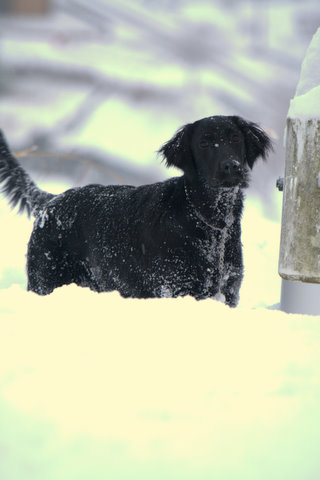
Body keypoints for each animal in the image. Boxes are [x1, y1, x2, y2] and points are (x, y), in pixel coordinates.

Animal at [0, 114, 272, 306]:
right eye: (204, 142)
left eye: (235, 138)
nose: (231, 166)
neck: (209, 222)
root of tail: (52, 202)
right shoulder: (174, 289)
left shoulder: (229, 290)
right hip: (45, 280)